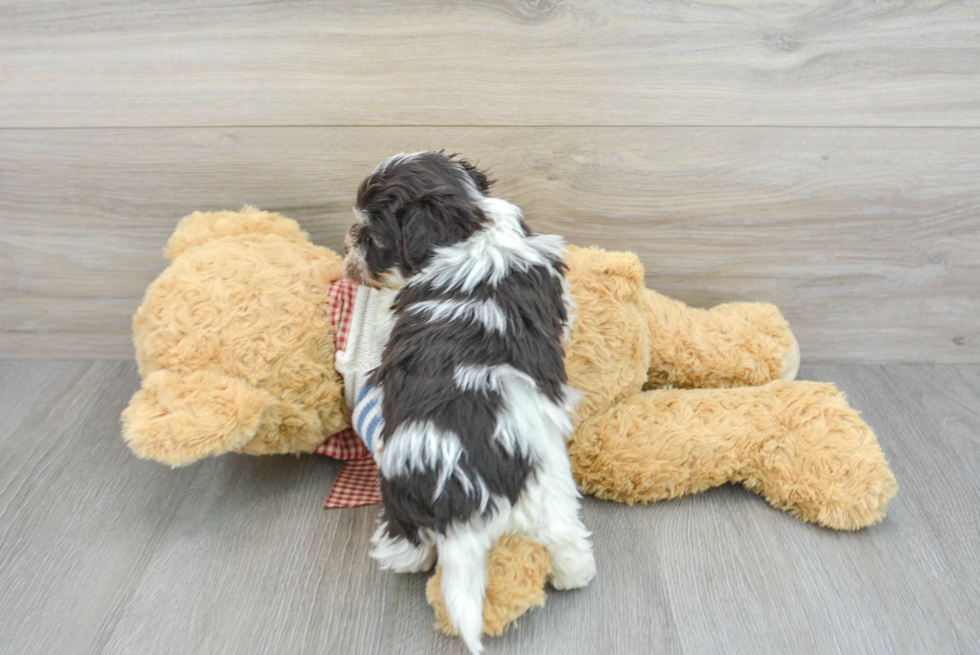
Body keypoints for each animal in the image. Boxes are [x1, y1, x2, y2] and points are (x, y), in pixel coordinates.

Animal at [344, 152, 596, 652]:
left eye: (372, 239)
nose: (351, 253)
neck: (470, 228)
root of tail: (460, 502)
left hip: (405, 497)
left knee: (407, 545)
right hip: (548, 491)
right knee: (564, 540)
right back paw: (575, 573)